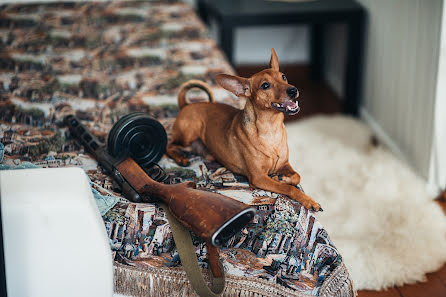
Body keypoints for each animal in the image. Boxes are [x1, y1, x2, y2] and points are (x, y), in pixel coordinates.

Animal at [166, 48, 322, 210]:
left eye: (283, 77)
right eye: (265, 85)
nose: (293, 90)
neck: (271, 129)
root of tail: (186, 104)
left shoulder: (285, 164)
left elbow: (297, 176)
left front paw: (283, 178)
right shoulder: (259, 178)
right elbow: (288, 188)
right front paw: (308, 200)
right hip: (187, 135)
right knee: (169, 144)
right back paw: (181, 158)